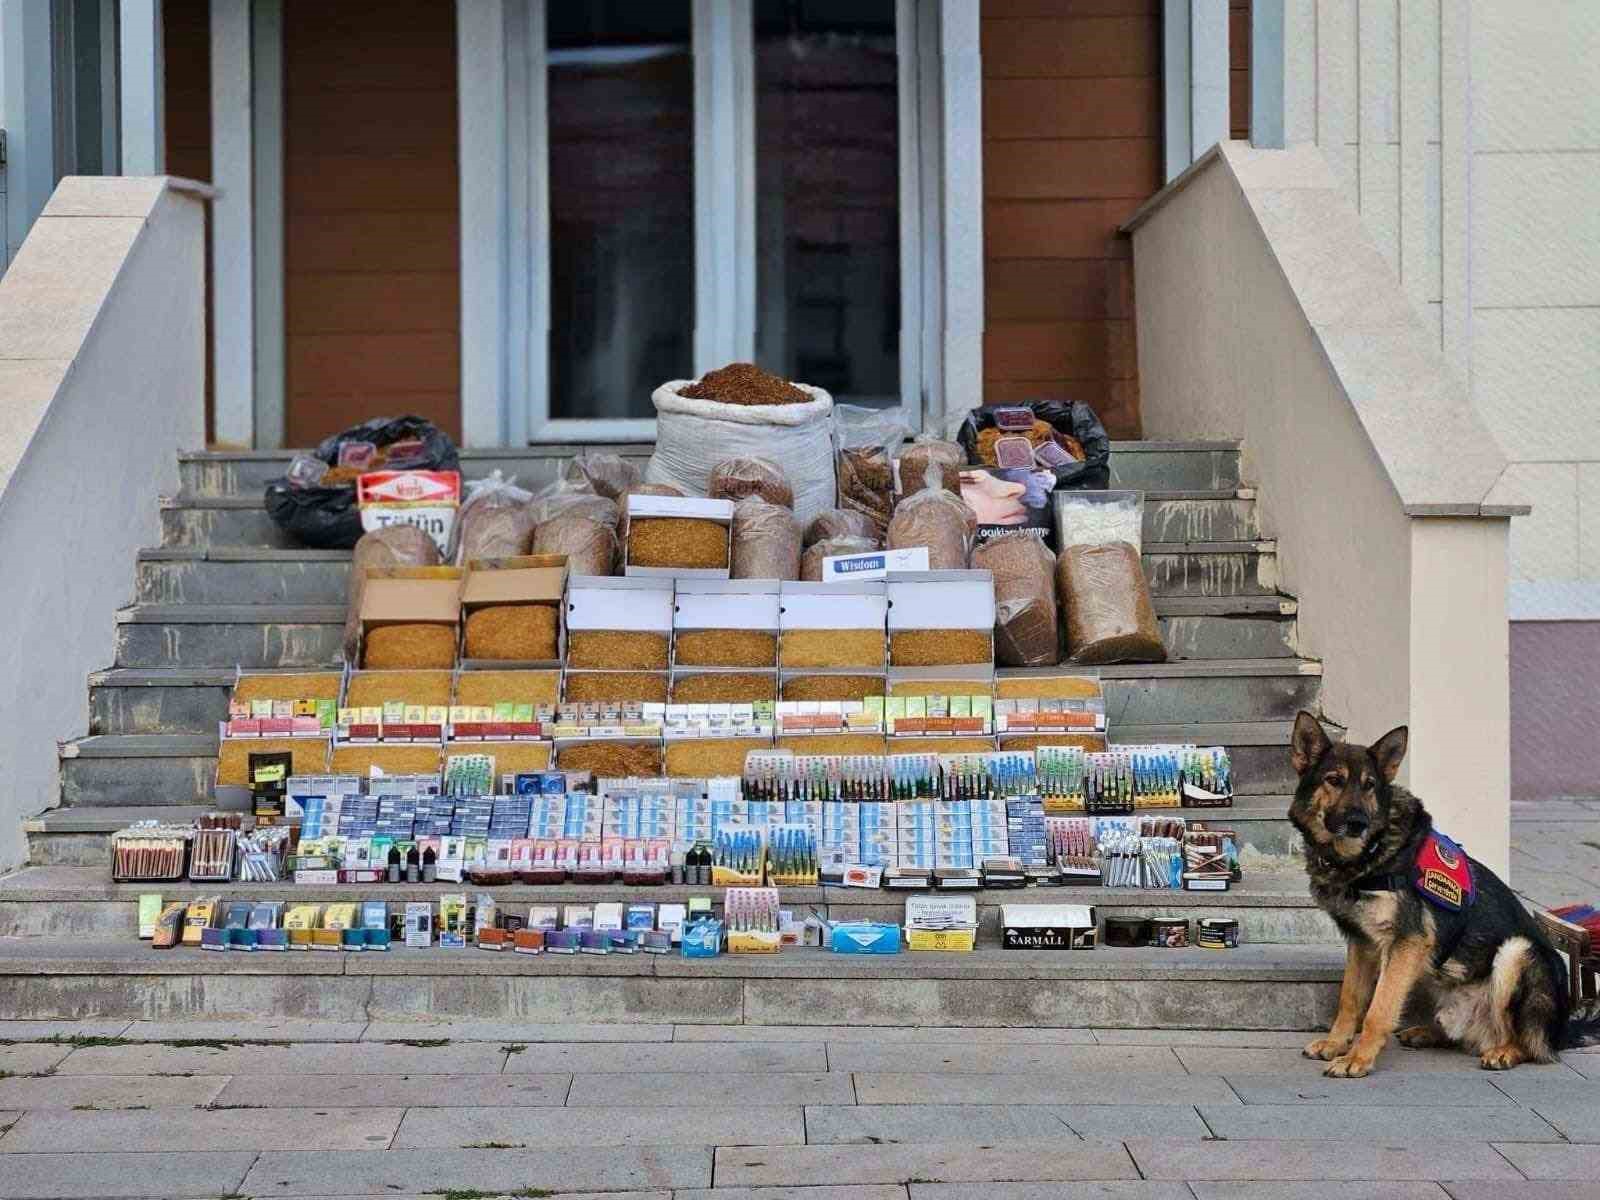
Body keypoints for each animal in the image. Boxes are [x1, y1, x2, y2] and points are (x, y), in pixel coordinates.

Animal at [1292, 713, 1593, 1081]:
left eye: (1369, 786)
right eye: (1334, 780)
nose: (1357, 823)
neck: (1368, 855)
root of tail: (1564, 1030)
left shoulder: (1407, 943)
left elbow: (1379, 1008)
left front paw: (1358, 1058)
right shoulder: (1363, 943)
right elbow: (1350, 999)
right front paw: (1335, 1044)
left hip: (1516, 952)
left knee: (1529, 1043)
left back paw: (1505, 1051)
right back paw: (1426, 1033)